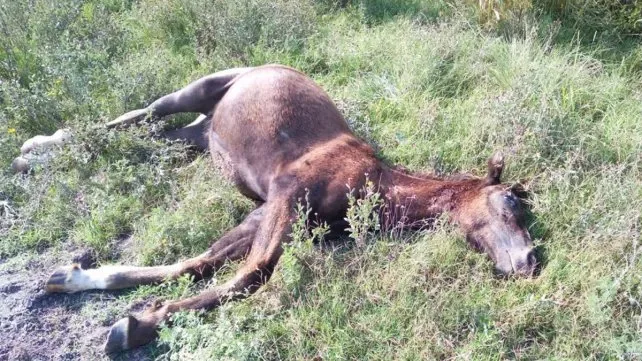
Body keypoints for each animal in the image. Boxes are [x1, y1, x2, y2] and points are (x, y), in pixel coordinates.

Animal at [43, 64, 536, 352]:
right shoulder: (285, 195)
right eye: (510, 200)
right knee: (139, 115)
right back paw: (40, 147)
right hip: (196, 90)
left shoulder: (264, 213)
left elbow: (196, 264)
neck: (372, 188)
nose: (529, 260)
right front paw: (138, 326)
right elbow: (252, 273)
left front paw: (80, 279)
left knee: (154, 134)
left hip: (197, 135)